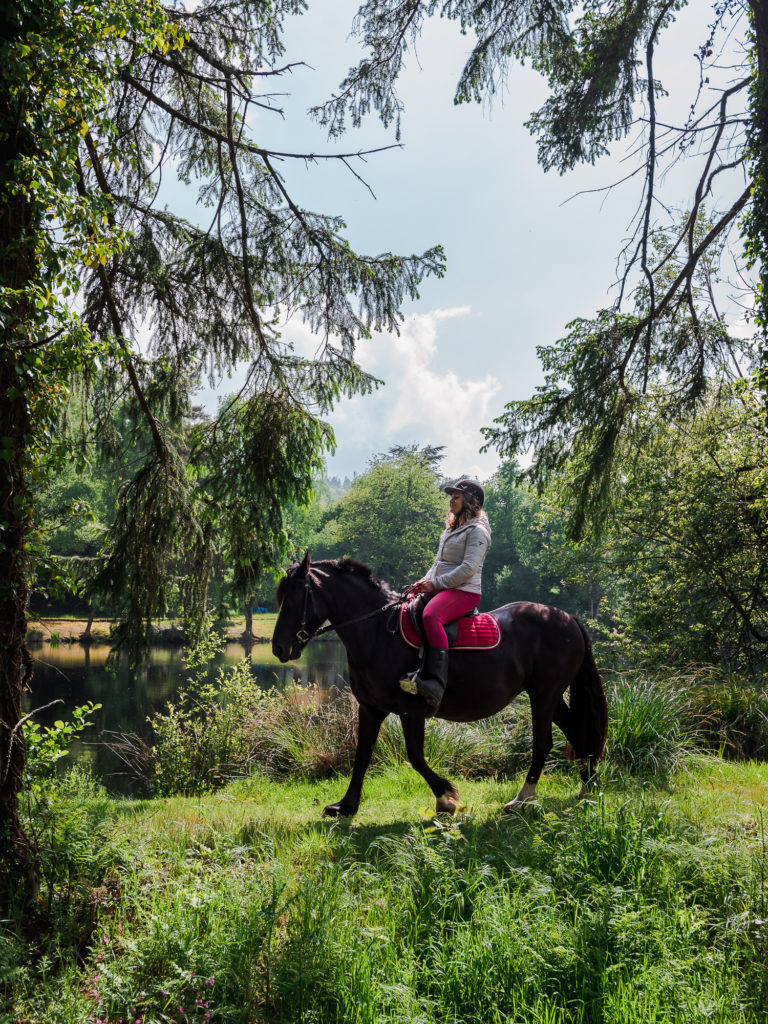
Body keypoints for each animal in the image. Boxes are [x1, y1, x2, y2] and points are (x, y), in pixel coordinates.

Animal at [274, 552, 610, 815]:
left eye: (294, 599)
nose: (279, 648)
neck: (378, 632)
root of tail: (569, 618)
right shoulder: (370, 708)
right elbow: (362, 755)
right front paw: (346, 806)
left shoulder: (411, 710)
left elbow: (415, 756)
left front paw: (446, 796)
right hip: (549, 696)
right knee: (576, 731)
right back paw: (587, 788)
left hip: (543, 694)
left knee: (544, 743)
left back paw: (522, 798)